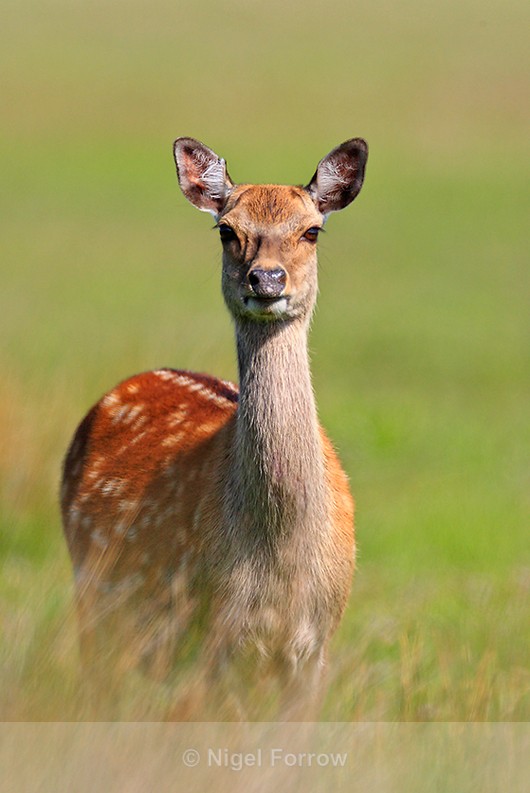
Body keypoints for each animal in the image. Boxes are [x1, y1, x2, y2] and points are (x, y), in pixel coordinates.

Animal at [61, 136, 368, 719]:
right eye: (227, 229)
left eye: (312, 230)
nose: (266, 279)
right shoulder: (212, 632)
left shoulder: (318, 642)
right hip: (94, 592)